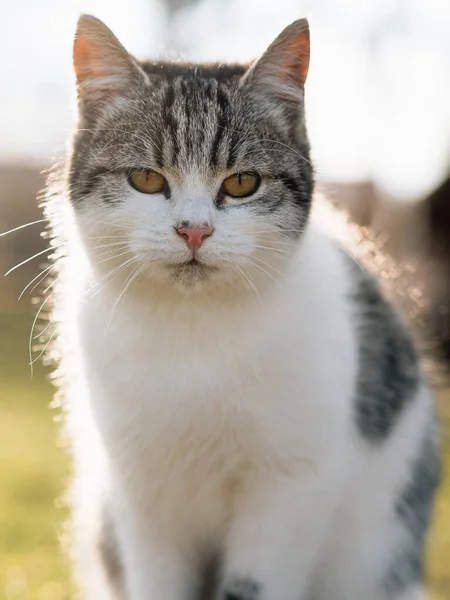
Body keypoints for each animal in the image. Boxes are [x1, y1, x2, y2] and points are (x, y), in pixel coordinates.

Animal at [44, 12, 440, 600]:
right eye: (146, 179)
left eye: (242, 182)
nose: (194, 230)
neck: (195, 331)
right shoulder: (141, 492)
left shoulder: (289, 486)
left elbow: (254, 582)